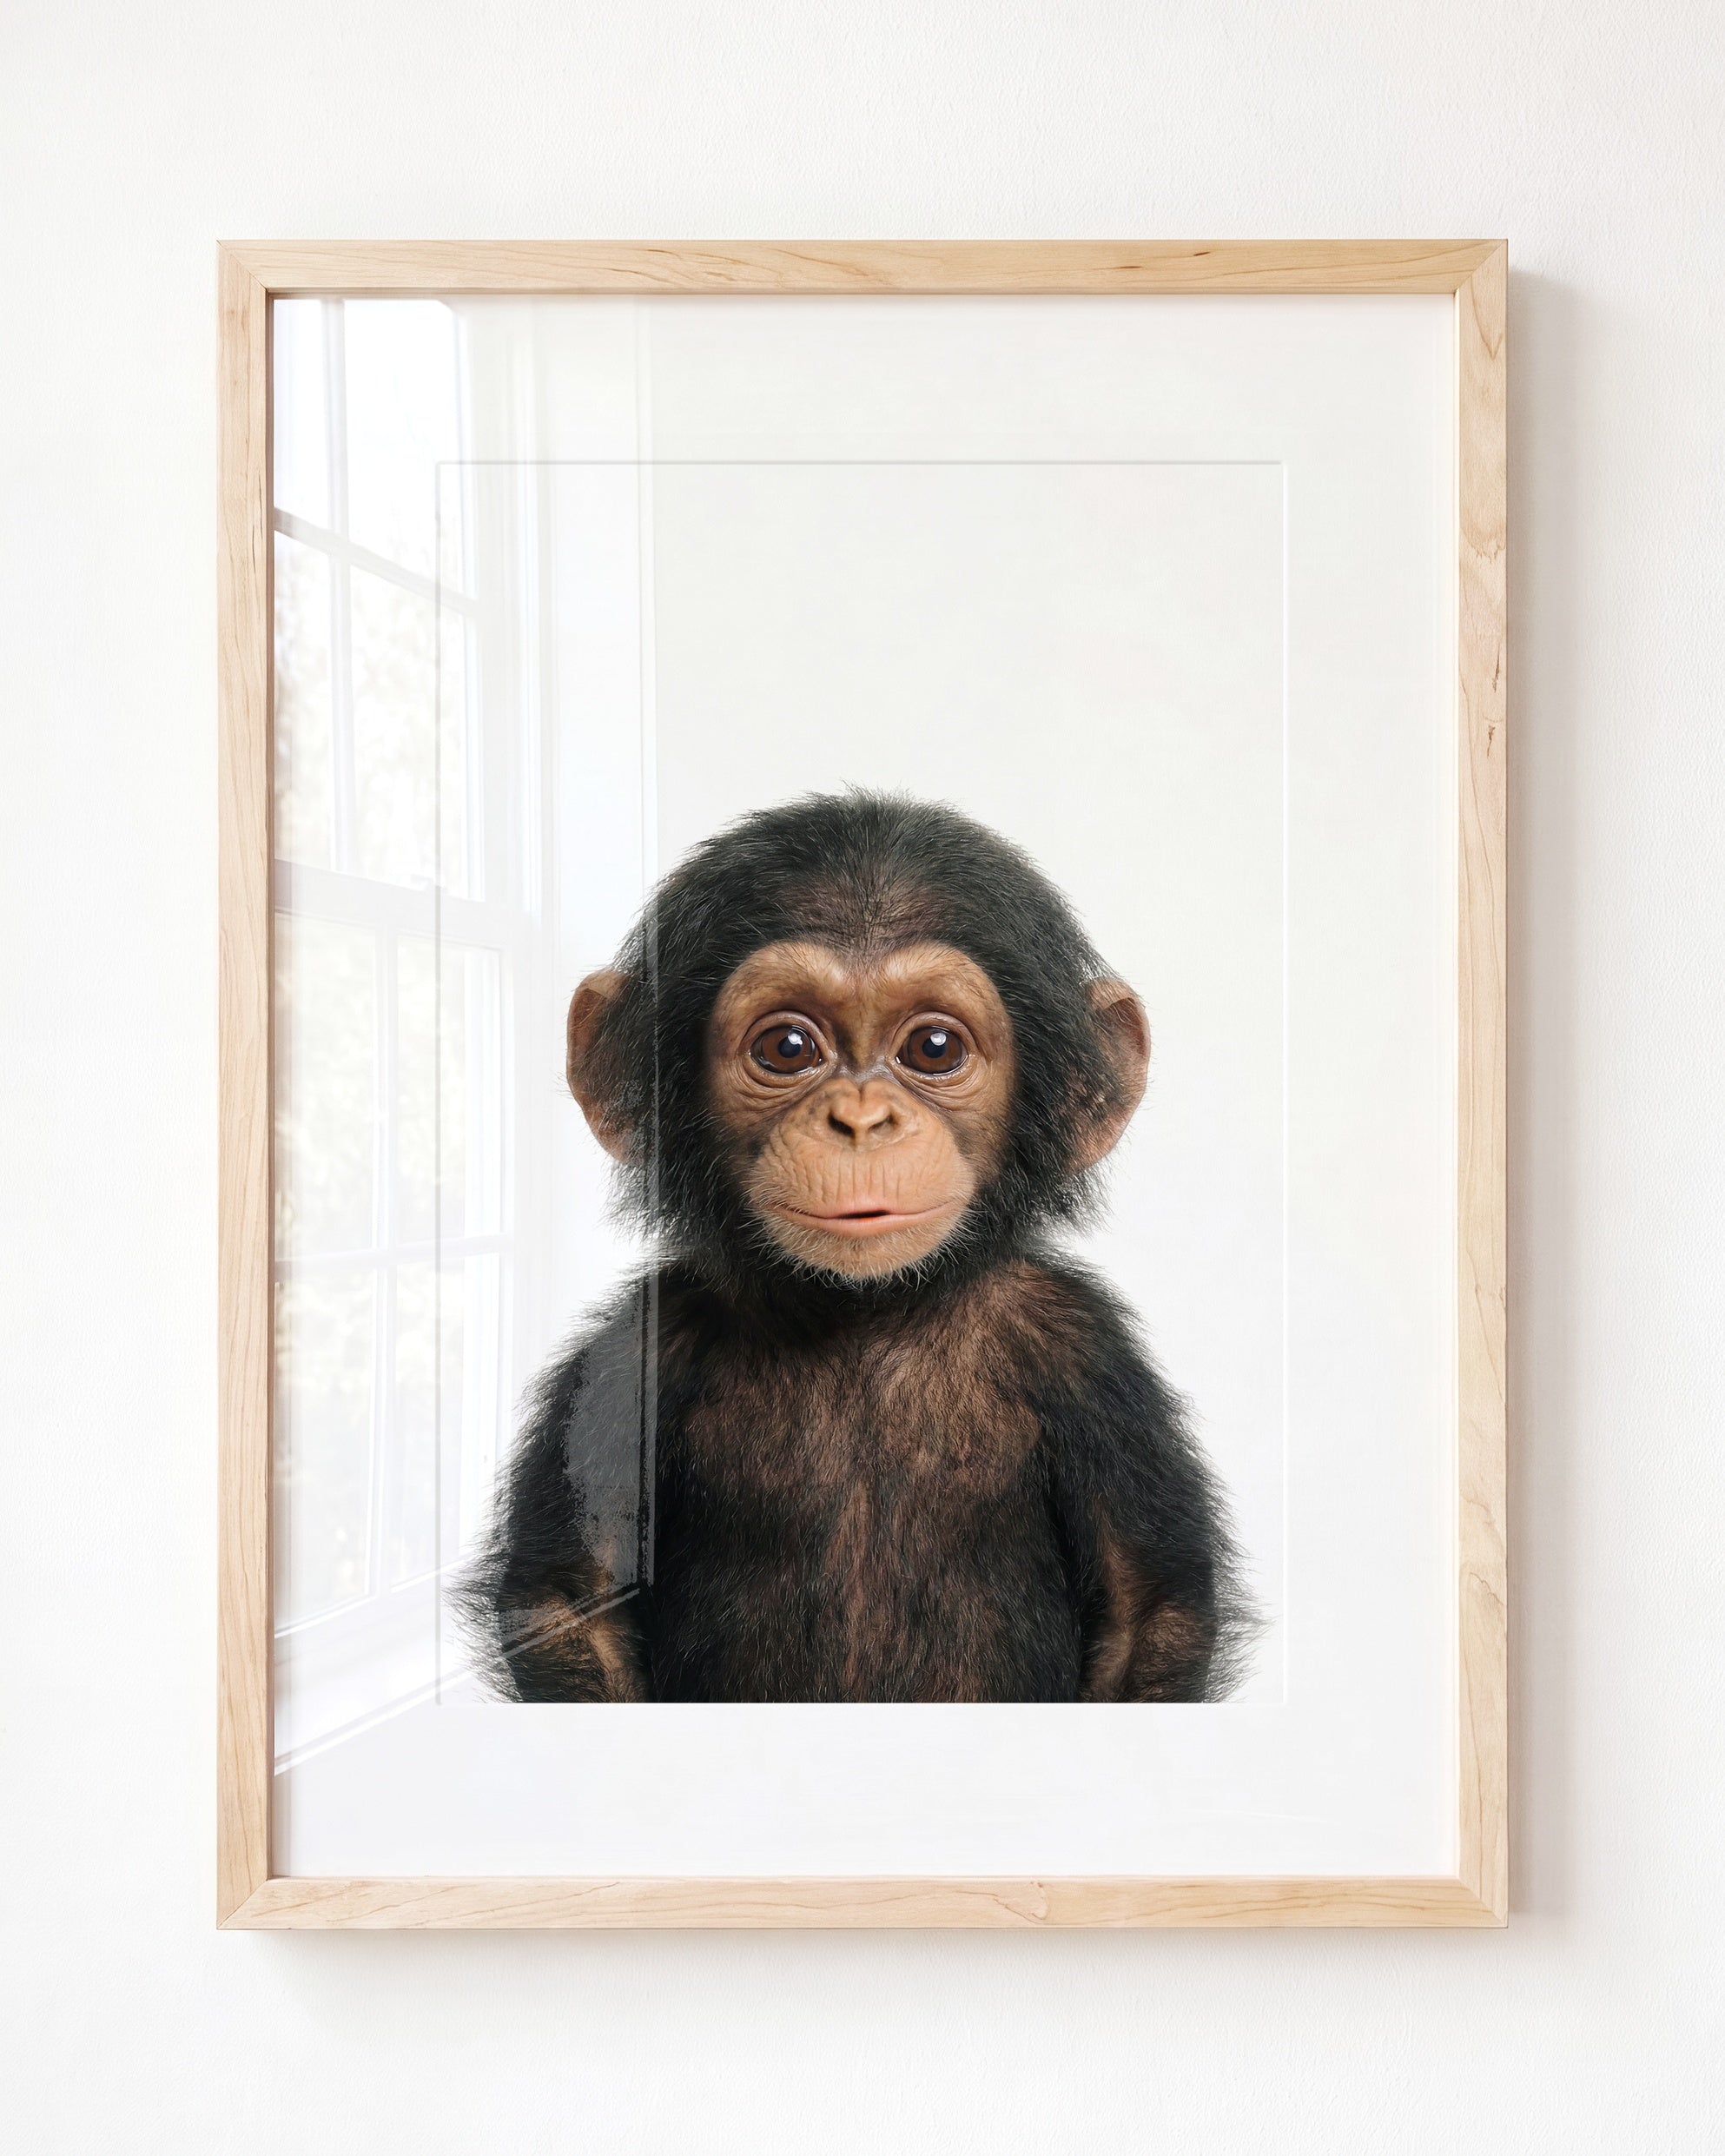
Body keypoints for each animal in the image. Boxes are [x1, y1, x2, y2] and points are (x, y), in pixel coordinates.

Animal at [458, 792, 1255, 1703]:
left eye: (934, 1048)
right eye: (787, 1048)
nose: (862, 1120)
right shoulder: (634, 1352)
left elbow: (1147, 1609)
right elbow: (571, 1600)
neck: (864, 1314)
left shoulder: (1086, 1353)